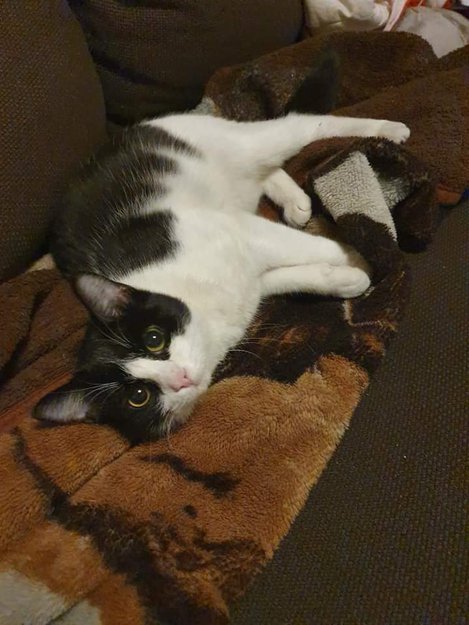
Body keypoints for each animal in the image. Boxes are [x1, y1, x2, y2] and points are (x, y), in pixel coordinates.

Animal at [33, 110, 410, 443]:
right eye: (138, 397)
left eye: (154, 339)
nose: (180, 378)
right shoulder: (252, 280)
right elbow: (290, 274)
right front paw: (347, 277)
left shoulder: (238, 231)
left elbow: (308, 245)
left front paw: (364, 254)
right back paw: (295, 200)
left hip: (236, 144)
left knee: (305, 124)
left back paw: (387, 131)